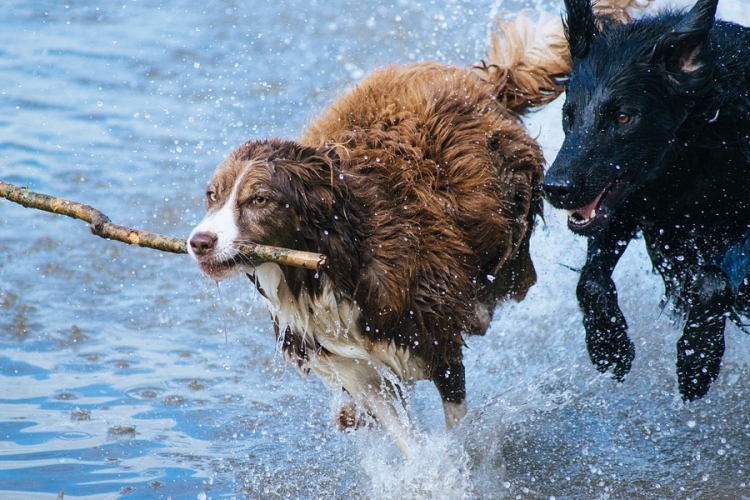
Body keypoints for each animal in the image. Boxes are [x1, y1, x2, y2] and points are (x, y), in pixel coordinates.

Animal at [544, 0, 750, 400]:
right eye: (568, 114)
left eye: (624, 117)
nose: (555, 187)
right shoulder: (629, 206)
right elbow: (590, 281)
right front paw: (609, 346)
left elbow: (713, 281)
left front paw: (696, 360)